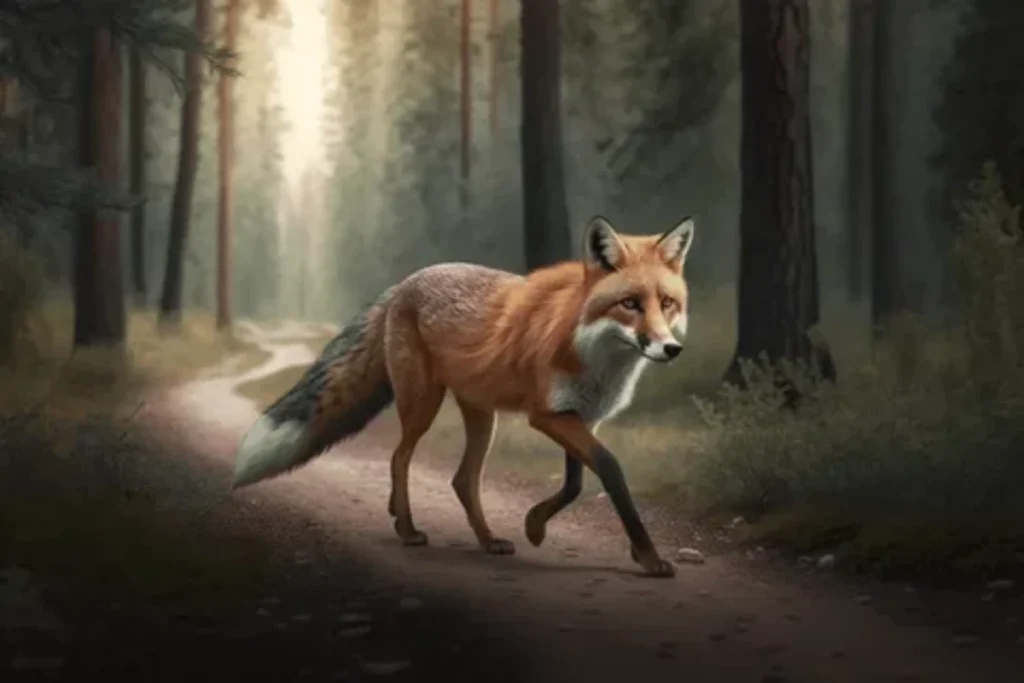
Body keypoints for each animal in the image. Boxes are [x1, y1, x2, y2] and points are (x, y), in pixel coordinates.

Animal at [231, 214, 695, 577]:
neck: (593, 353)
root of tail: (405, 282)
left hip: (481, 415)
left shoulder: (583, 416)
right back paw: (407, 529)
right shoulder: (547, 415)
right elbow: (610, 470)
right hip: (424, 401)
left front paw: (535, 526)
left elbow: (575, 483)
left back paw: (485, 539)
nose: (671, 349)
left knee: (462, 479)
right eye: (630, 304)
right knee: (400, 458)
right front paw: (648, 557)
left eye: (668, 303)